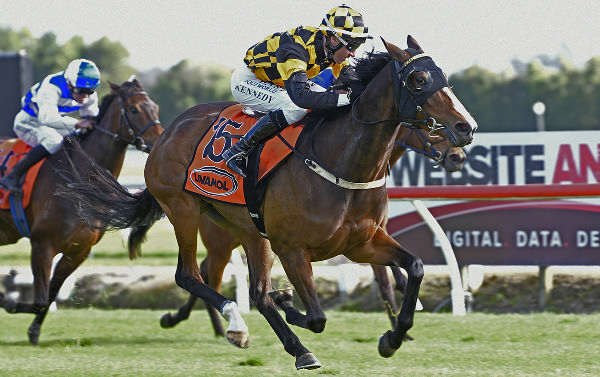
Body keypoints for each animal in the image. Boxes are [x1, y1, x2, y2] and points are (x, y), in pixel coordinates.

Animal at [0, 78, 163, 344]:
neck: (78, 180)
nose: (159, 142)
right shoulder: (42, 243)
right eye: (134, 109)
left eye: (155, 107)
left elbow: (49, 295)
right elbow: (39, 299)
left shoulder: (78, 251)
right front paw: (8, 303)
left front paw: (33, 330)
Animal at [58, 36, 476, 368]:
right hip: (184, 210)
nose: (465, 128)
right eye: (419, 79)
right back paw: (243, 326)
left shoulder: (363, 243)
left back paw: (277, 340)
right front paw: (290, 302)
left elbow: (415, 268)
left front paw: (393, 337)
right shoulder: (292, 248)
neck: (342, 162)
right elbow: (317, 315)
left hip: (249, 231)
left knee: (252, 291)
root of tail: (168, 130)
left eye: (443, 75)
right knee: (191, 275)